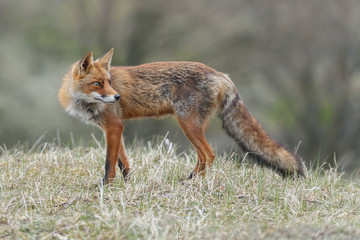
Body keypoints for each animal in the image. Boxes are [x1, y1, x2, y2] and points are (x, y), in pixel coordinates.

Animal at [58, 49, 304, 184]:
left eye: (108, 82)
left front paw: (106, 187)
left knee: (209, 154)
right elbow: (123, 162)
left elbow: (109, 162)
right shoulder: (114, 129)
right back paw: (190, 179)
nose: (117, 97)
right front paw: (127, 184)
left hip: (186, 123)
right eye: (97, 83)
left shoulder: (114, 127)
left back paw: (195, 183)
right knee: (203, 157)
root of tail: (221, 75)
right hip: (193, 125)